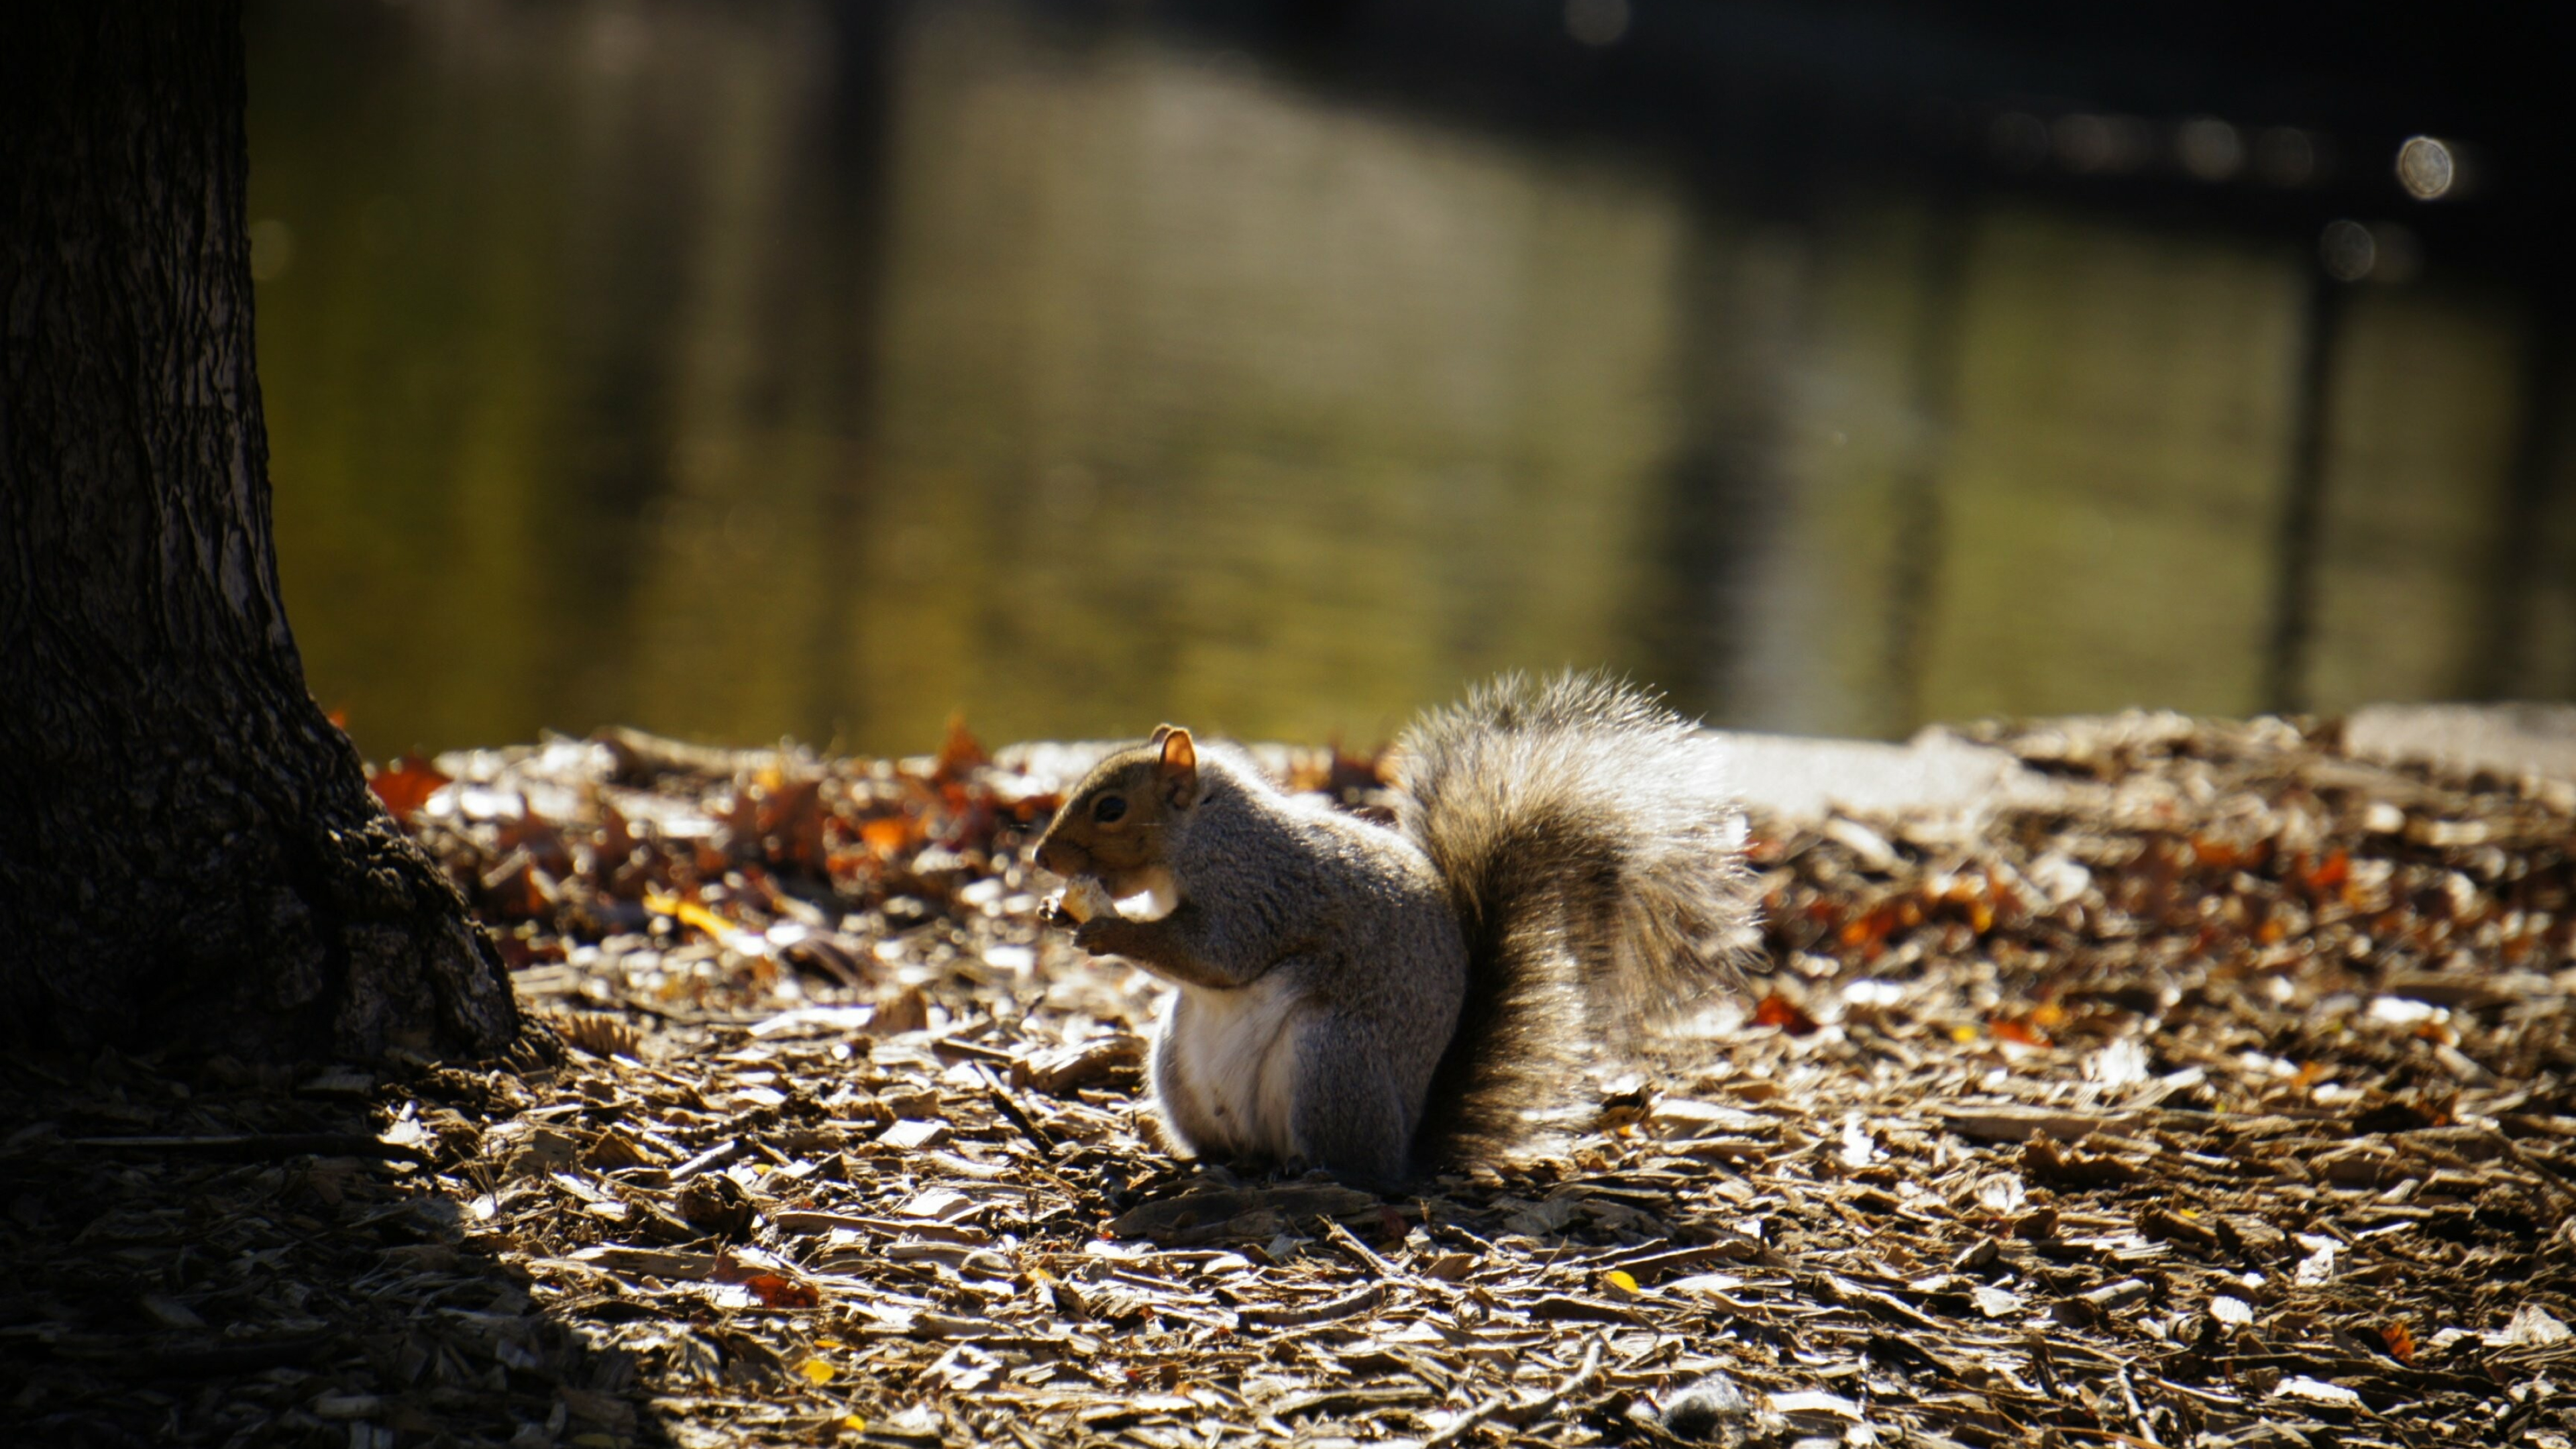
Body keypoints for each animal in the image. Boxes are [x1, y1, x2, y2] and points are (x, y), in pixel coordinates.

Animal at [1035, 670, 1762, 1181]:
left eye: (1110, 807)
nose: (1042, 859)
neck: (1201, 830)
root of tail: (1406, 1148)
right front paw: (1057, 910)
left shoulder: (1256, 886)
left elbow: (1218, 956)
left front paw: (1108, 931)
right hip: (1176, 1064)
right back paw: (1217, 1157)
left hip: (1332, 1058)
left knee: (1355, 1165)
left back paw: (1313, 1168)